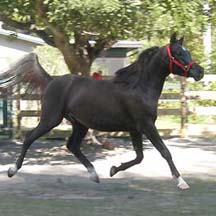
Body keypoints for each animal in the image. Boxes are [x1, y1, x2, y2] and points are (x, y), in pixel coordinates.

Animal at [0, 33, 204, 190]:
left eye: (188, 52)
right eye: (178, 53)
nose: (199, 71)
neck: (139, 87)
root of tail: (52, 80)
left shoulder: (135, 129)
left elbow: (139, 157)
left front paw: (113, 169)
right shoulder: (146, 125)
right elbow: (164, 152)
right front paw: (181, 182)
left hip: (79, 124)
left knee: (72, 146)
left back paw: (94, 175)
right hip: (51, 119)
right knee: (29, 138)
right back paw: (12, 170)